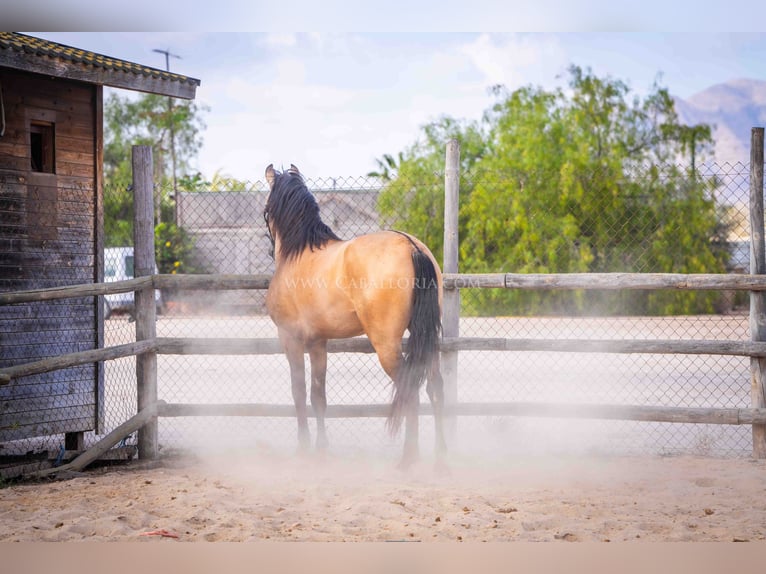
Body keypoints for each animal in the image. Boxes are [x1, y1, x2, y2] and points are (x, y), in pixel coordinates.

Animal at [262, 164, 444, 470]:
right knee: (436, 388)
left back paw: (408, 458)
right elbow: (318, 395)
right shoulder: (318, 342)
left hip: (386, 344)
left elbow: (299, 392)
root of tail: (411, 246)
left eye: (265, 209)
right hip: (428, 340)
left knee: (409, 388)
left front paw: (303, 448)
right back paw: (445, 456)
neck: (297, 254)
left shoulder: (291, 339)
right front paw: (322, 448)